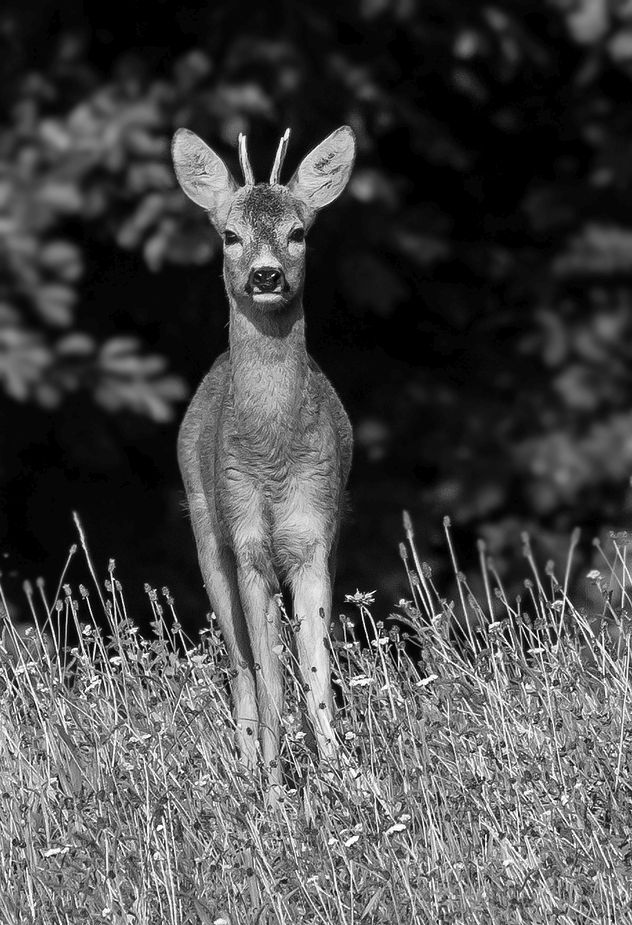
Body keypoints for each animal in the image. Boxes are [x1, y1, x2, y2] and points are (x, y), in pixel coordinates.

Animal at [172, 121, 356, 788]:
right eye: (230, 234)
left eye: (298, 232)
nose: (267, 275)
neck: (273, 457)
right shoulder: (246, 541)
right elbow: (268, 671)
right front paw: (275, 789)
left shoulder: (315, 533)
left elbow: (315, 669)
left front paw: (344, 777)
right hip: (207, 531)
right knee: (240, 666)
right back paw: (249, 767)